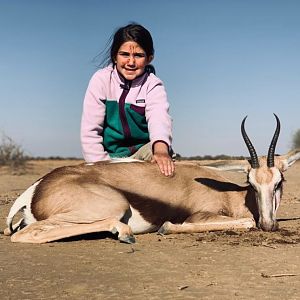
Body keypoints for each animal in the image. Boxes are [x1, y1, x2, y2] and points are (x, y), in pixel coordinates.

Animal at [4, 115, 300, 244]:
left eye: (279, 181)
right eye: (251, 182)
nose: (269, 225)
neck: (231, 194)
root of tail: (36, 189)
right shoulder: (200, 216)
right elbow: (247, 222)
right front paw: (166, 227)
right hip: (113, 206)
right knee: (25, 235)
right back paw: (124, 232)